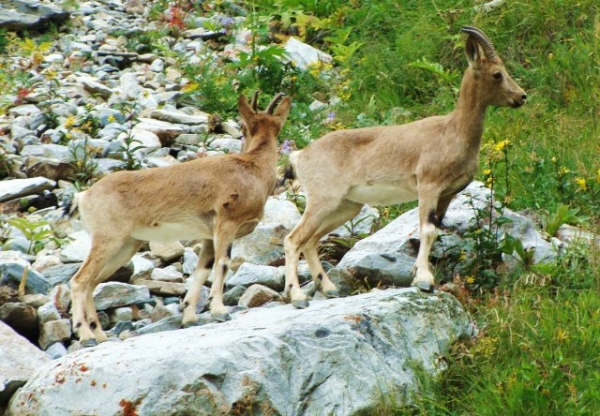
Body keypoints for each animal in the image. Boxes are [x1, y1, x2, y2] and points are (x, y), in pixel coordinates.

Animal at [65, 92, 290, 346]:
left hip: (125, 246)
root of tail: (83, 196)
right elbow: (223, 264)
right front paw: (220, 311)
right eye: (243, 128)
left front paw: (189, 317)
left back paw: (100, 336)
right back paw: (85, 335)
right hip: (108, 239)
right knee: (79, 281)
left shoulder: (208, 236)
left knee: (92, 284)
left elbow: (202, 270)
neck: (253, 170)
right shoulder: (226, 225)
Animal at [282, 25, 524, 306]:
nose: (521, 96)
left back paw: (329, 288)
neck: (452, 131)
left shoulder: (446, 194)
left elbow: (434, 230)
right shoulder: (428, 185)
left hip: (346, 206)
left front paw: (421, 276)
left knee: (310, 241)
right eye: (497, 74)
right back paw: (298, 296)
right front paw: (424, 281)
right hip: (323, 200)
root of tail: (299, 156)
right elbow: (427, 231)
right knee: (293, 239)